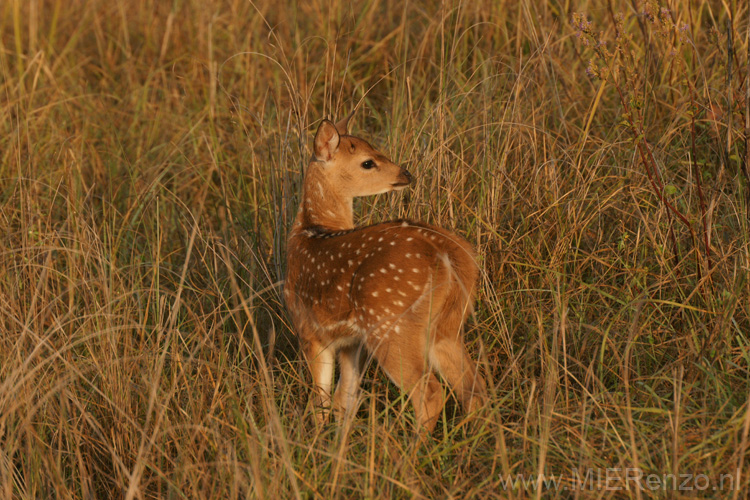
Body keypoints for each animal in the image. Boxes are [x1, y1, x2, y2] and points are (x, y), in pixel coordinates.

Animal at [284, 111, 488, 432]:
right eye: (368, 161)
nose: (407, 174)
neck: (309, 230)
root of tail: (449, 254)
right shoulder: (350, 342)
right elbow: (345, 397)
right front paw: (339, 438)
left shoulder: (309, 329)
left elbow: (321, 399)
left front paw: (317, 439)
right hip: (447, 324)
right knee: (473, 388)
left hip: (391, 322)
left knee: (431, 392)